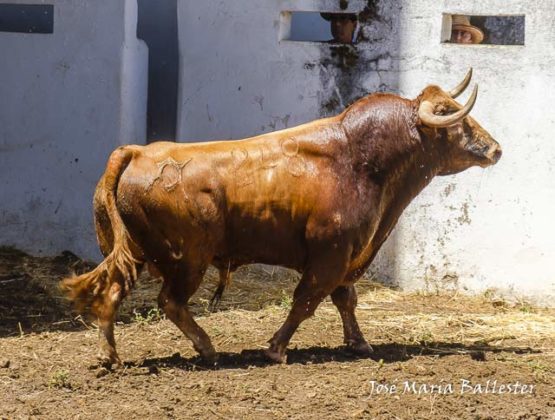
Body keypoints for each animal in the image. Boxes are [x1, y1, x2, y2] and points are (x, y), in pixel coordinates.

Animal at [63, 69, 502, 364]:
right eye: (450, 113)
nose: (495, 148)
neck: (361, 160)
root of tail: (137, 151)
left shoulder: (346, 257)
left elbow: (346, 299)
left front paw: (359, 343)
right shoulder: (330, 256)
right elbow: (306, 301)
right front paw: (276, 348)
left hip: (136, 252)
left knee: (112, 293)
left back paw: (110, 356)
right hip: (189, 259)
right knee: (170, 301)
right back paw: (206, 347)